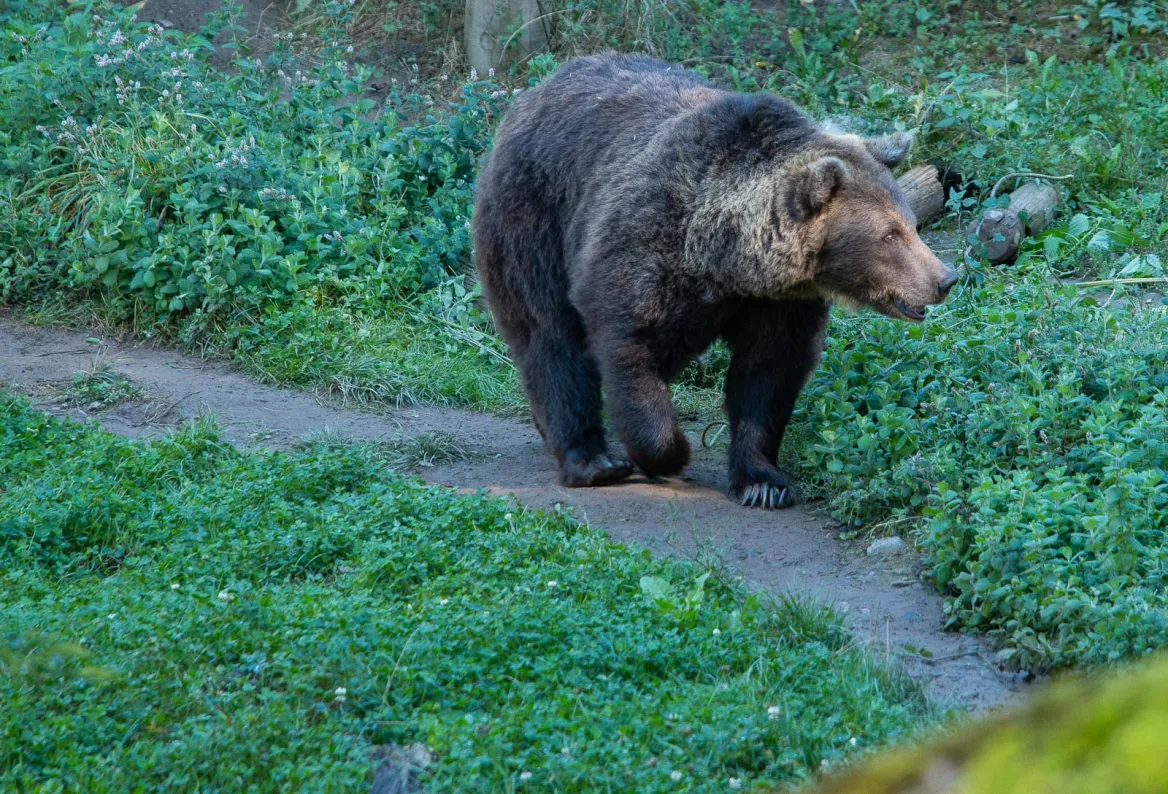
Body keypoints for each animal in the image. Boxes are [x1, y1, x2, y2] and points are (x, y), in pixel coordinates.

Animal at [471, 53, 957, 509]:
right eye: (889, 234)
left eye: (911, 224)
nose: (945, 278)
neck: (724, 258)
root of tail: (534, 91)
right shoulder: (643, 250)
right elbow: (627, 347)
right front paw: (669, 454)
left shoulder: (778, 302)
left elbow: (768, 374)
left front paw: (763, 483)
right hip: (533, 217)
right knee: (548, 336)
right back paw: (592, 460)